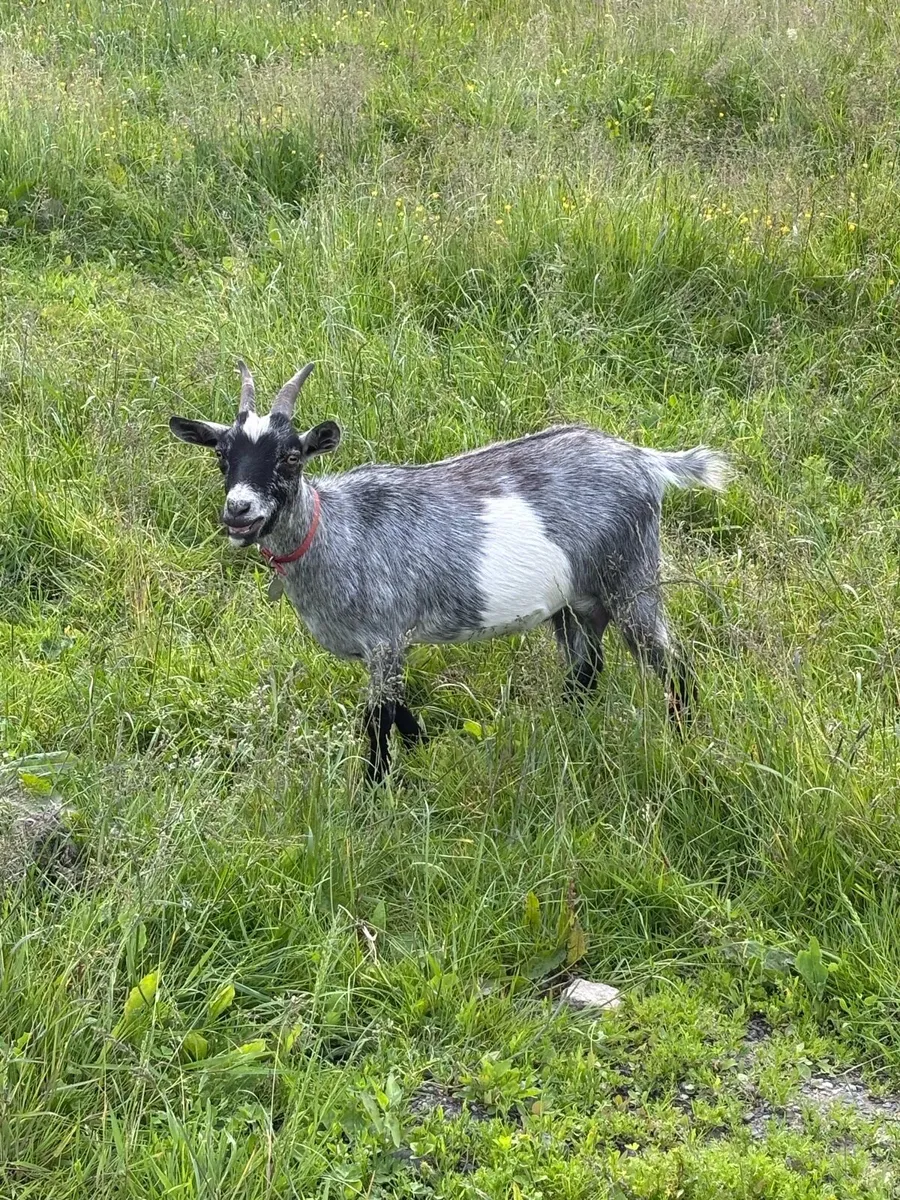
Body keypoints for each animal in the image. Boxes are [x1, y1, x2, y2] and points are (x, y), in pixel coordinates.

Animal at [170, 361, 730, 781]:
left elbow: (377, 720)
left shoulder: (385, 636)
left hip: (631, 577)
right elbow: (398, 711)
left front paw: (374, 796)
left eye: (291, 457)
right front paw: (426, 750)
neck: (338, 532)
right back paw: (569, 732)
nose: (239, 511)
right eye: (222, 456)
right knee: (586, 669)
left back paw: (687, 740)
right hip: (576, 601)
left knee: (672, 662)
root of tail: (647, 462)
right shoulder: (389, 646)